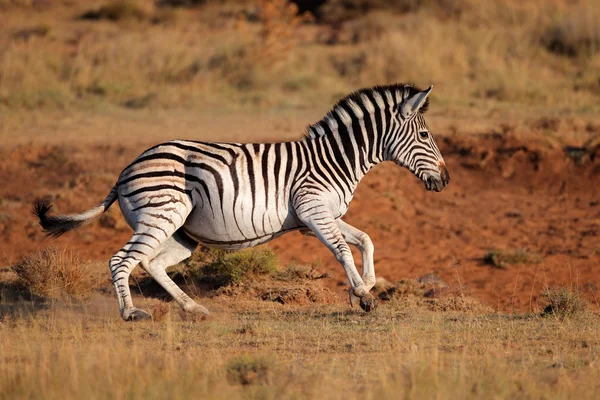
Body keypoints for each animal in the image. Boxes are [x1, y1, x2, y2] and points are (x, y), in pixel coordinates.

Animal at [31, 83, 446, 320]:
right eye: (425, 135)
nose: (446, 180)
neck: (334, 159)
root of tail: (125, 171)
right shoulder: (313, 210)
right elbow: (344, 249)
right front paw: (361, 294)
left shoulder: (321, 215)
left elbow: (365, 240)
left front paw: (365, 287)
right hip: (161, 216)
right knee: (122, 260)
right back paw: (131, 313)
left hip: (180, 234)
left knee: (152, 263)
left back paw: (192, 308)